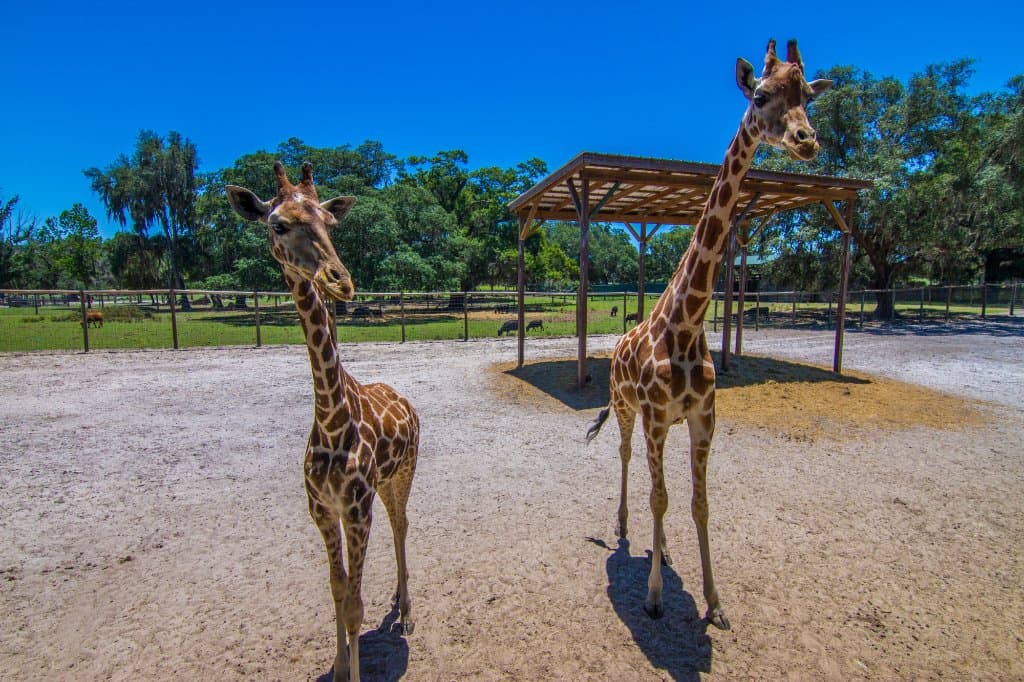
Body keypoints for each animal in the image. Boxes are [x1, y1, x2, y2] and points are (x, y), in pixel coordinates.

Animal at [226, 162, 419, 682]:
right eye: (277, 224)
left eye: (330, 223)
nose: (341, 281)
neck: (332, 420)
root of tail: (405, 398)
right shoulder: (322, 511)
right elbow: (336, 591)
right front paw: (336, 667)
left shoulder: (356, 509)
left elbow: (354, 605)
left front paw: (352, 669)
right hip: (383, 485)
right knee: (397, 528)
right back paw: (397, 603)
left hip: (403, 474)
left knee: (402, 524)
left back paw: (406, 612)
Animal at [586, 39, 832, 629]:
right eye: (760, 95)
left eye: (808, 96)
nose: (806, 140)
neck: (688, 321)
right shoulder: (654, 416)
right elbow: (659, 498)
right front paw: (654, 597)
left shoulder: (703, 419)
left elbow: (698, 502)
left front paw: (716, 603)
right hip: (625, 408)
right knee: (628, 460)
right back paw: (625, 529)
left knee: (660, 485)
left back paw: (666, 548)